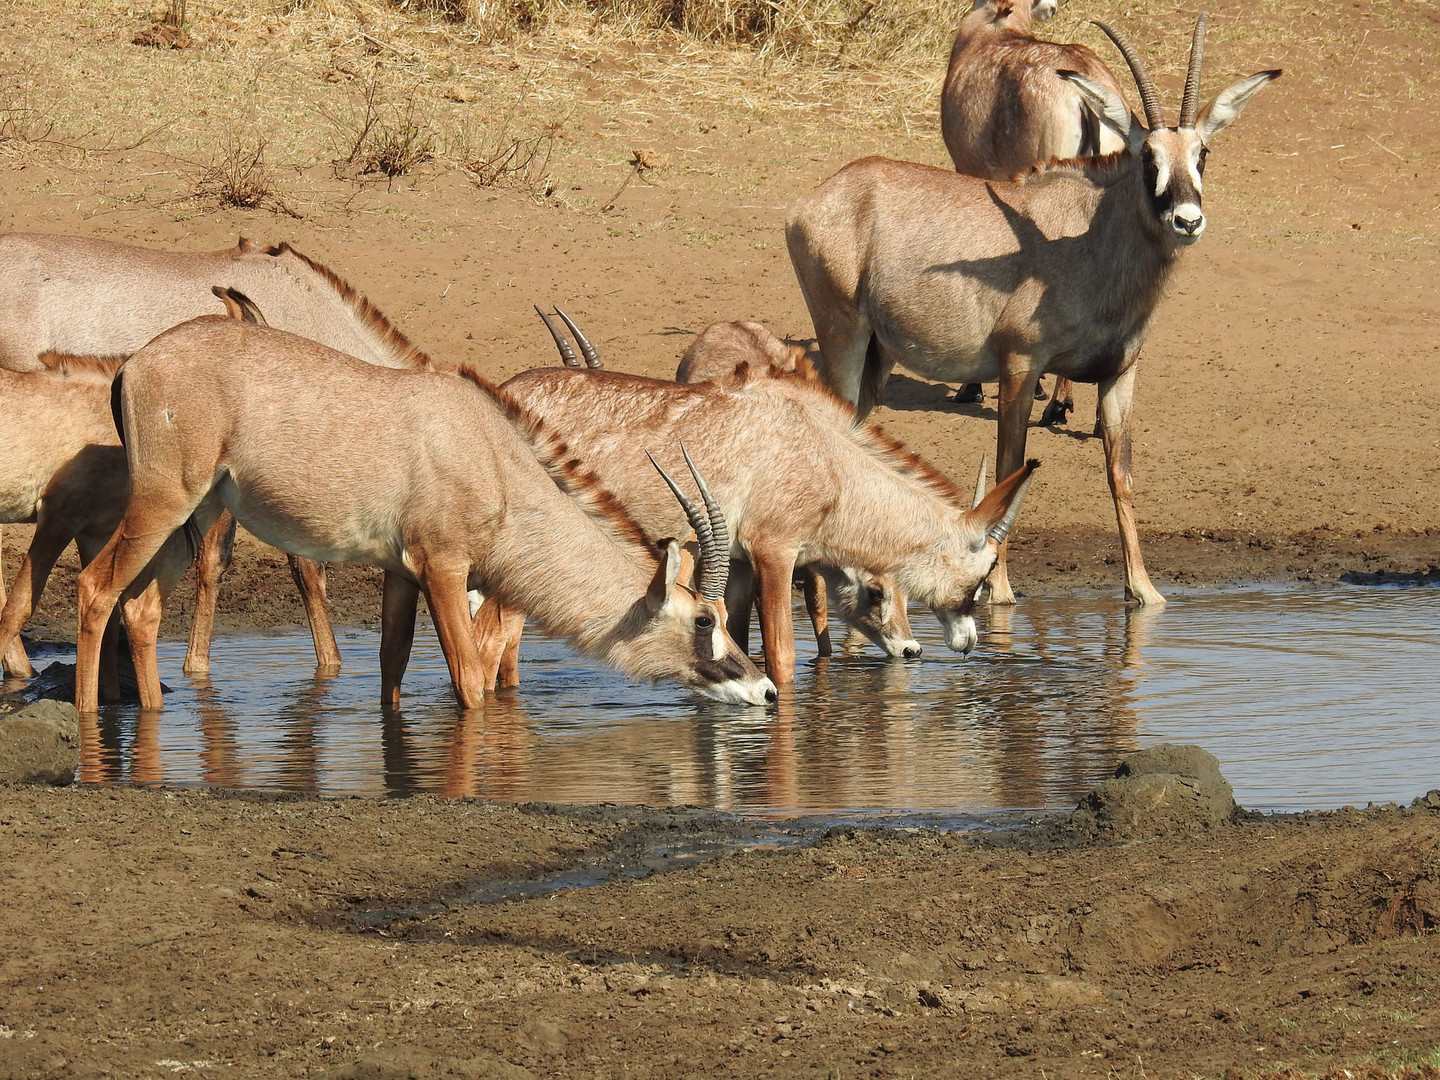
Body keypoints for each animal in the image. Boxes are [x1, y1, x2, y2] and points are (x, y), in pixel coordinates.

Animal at [73, 312, 783, 714]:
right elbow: (468, 676)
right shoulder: (443, 567)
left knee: (141, 608)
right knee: (95, 587)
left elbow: (392, 667)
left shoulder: (398, 573)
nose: (765, 691)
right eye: (703, 619)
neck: (491, 454)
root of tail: (137, 362)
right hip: (163, 502)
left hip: (188, 515)